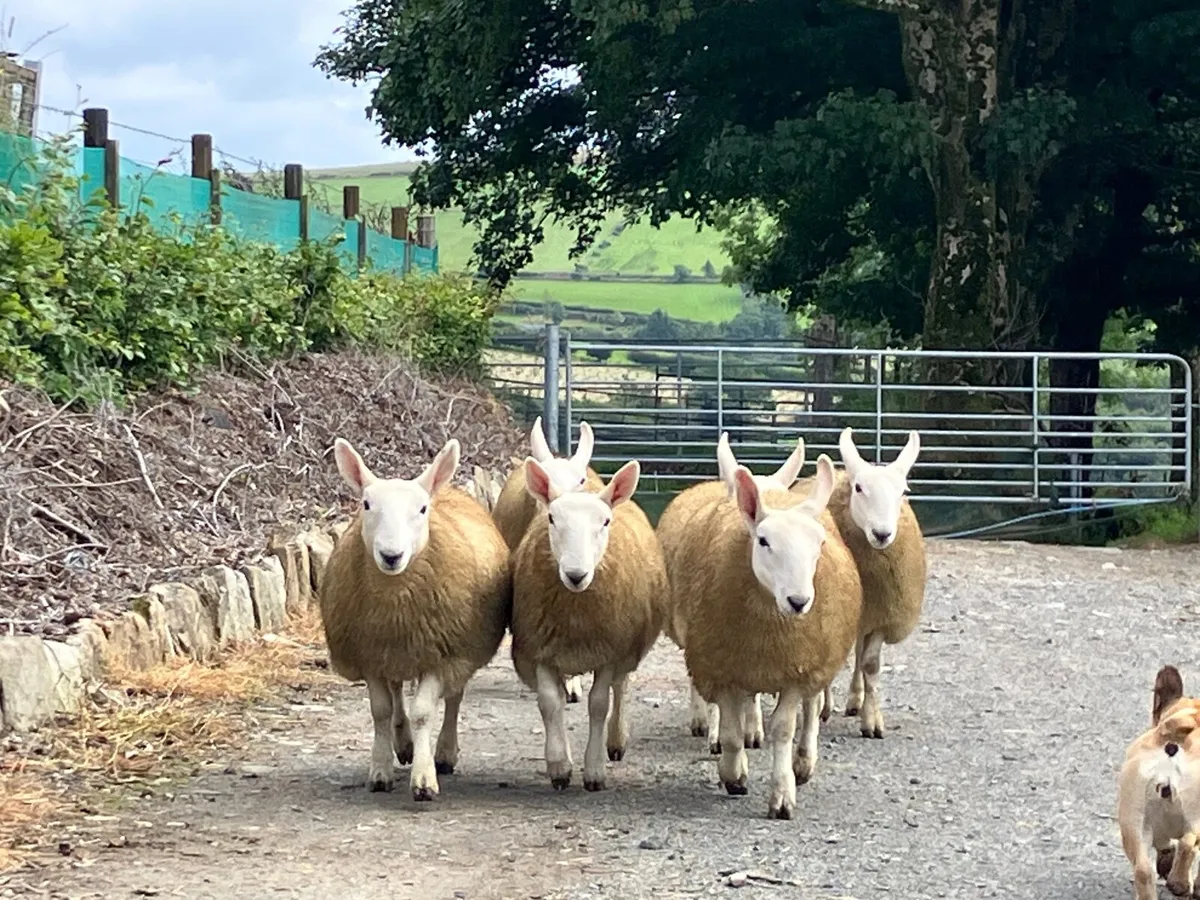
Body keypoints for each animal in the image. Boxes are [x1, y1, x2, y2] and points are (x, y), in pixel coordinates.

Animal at [319, 437, 511, 801]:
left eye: (422, 509)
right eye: (366, 504)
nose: (391, 556)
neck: (397, 602)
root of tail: (445, 488)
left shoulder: (441, 653)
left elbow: (424, 712)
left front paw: (424, 779)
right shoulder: (370, 655)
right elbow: (381, 711)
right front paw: (380, 771)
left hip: (457, 652)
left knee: (453, 698)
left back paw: (444, 753)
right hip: (394, 653)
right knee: (396, 695)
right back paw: (403, 743)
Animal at [510, 456, 668, 792]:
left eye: (605, 522)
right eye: (552, 518)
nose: (575, 574)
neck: (576, 615)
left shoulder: (608, 651)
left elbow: (598, 704)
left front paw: (594, 770)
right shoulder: (540, 648)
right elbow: (550, 703)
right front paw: (559, 766)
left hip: (626, 646)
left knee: (620, 687)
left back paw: (616, 741)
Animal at [679, 454, 863, 819]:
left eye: (819, 544)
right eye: (764, 541)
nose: (799, 601)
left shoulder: (795, 669)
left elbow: (784, 729)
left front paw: (782, 794)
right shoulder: (723, 669)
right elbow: (731, 733)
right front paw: (734, 775)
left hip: (816, 659)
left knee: (812, 707)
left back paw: (803, 763)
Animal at [792, 426, 925, 739]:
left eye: (903, 491)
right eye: (859, 488)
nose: (882, 534)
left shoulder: (881, 614)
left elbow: (870, 664)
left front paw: (871, 720)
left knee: (859, 654)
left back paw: (856, 699)